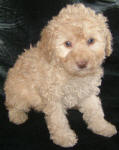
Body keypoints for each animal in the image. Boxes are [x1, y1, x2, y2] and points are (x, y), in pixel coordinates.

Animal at [3, 3, 117, 148]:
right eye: (67, 44)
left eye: (91, 40)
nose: (82, 63)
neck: (72, 75)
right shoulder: (53, 98)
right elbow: (58, 120)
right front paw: (64, 137)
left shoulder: (88, 92)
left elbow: (95, 111)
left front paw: (103, 127)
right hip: (19, 91)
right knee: (13, 104)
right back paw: (17, 115)